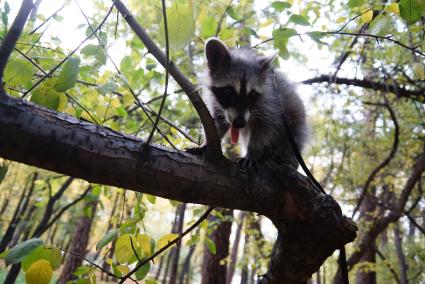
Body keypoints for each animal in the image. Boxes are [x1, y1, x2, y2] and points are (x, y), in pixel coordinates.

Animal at [194, 37, 306, 169]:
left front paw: (252, 152)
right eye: (228, 92)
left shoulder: (270, 102)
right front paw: (207, 142)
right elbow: (218, 122)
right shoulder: (217, 102)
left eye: (252, 94)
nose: (240, 123)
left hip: (295, 126)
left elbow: (265, 127)